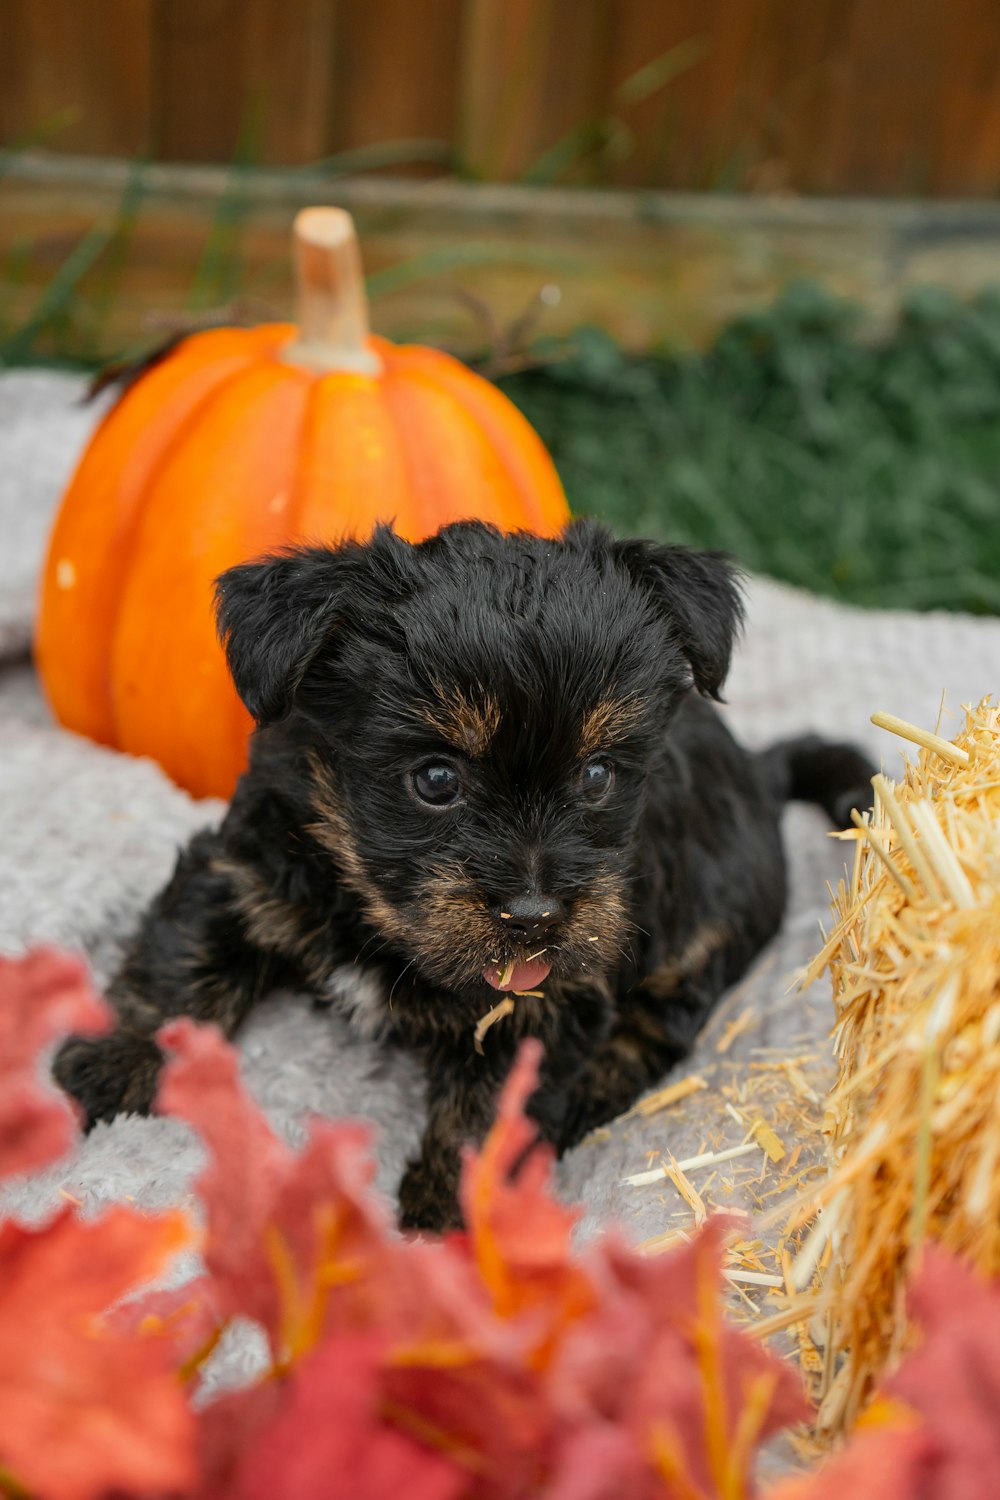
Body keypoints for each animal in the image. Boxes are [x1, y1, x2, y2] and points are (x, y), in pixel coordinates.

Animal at [54, 522, 869, 1224]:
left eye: (598, 775)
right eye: (436, 779)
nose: (535, 914)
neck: (376, 913)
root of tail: (760, 770)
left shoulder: (545, 999)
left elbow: (492, 1105)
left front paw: (450, 1217)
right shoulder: (246, 868)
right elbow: (178, 961)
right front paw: (109, 1066)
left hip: (701, 932)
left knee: (655, 1027)